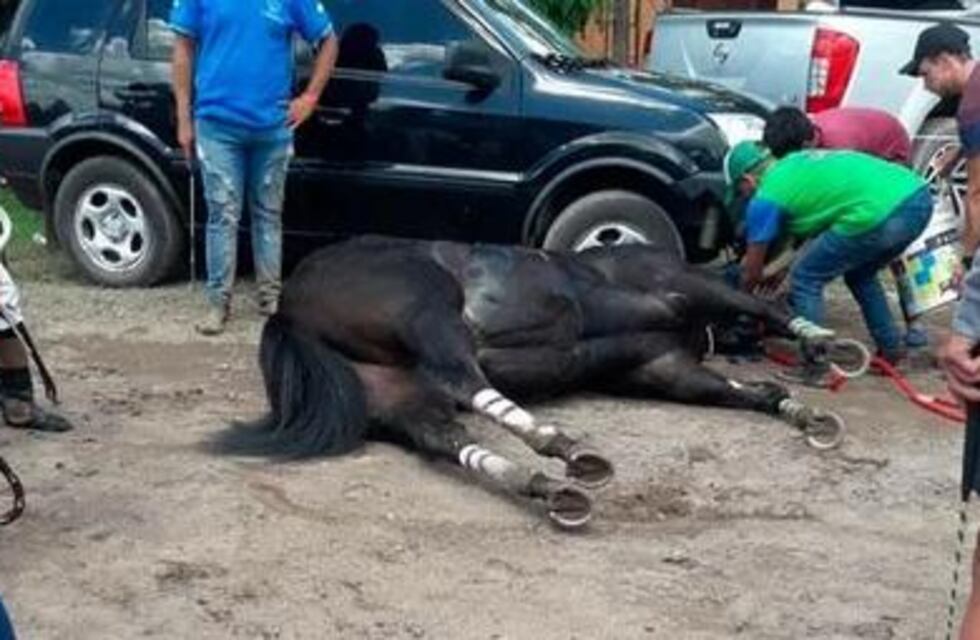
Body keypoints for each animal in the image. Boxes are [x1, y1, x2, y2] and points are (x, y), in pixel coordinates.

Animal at [217, 236, 844, 529]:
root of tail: (289, 307)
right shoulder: (682, 289)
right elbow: (759, 306)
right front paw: (823, 344)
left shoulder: (664, 367)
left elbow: (734, 392)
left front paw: (799, 410)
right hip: (428, 308)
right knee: (463, 379)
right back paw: (562, 448)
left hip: (395, 394)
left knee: (446, 437)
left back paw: (548, 486)